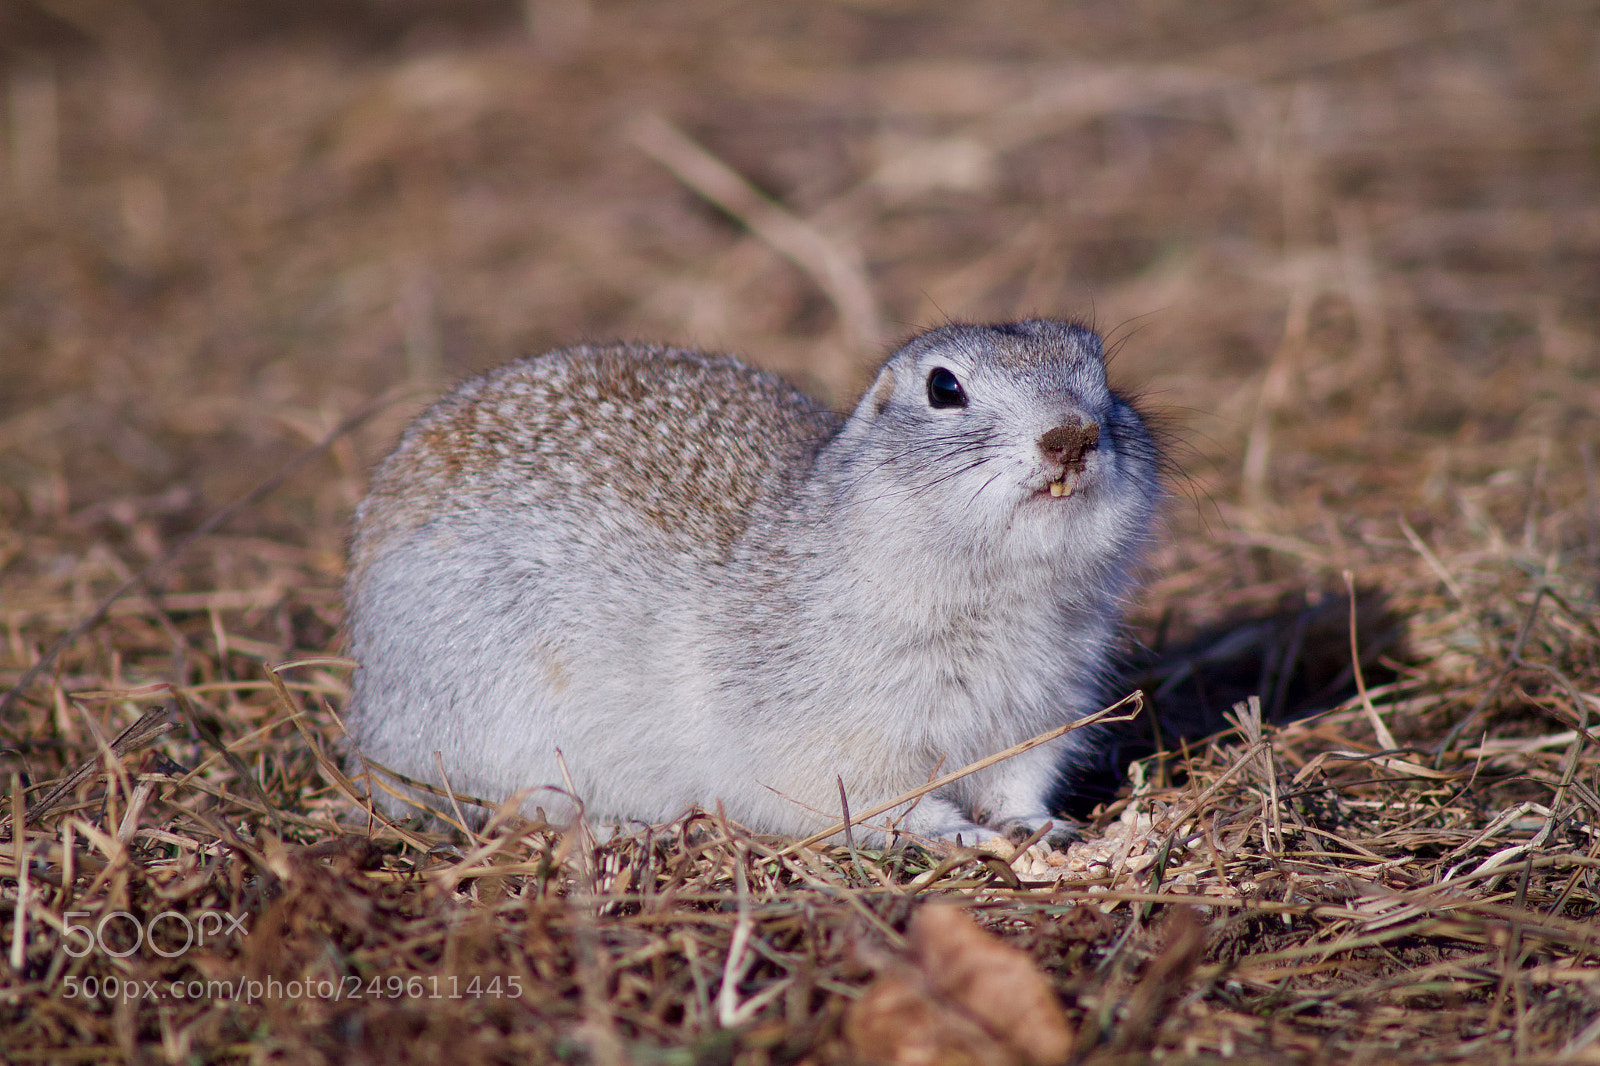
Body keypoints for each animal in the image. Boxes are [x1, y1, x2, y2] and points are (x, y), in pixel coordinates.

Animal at [343, 319, 1160, 846]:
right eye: (944, 387)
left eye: (1101, 373)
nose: (1072, 434)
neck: (999, 594)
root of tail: (365, 714)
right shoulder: (836, 737)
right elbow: (876, 802)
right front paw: (959, 834)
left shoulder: (1040, 711)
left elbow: (1020, 780)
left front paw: (1037, 825)